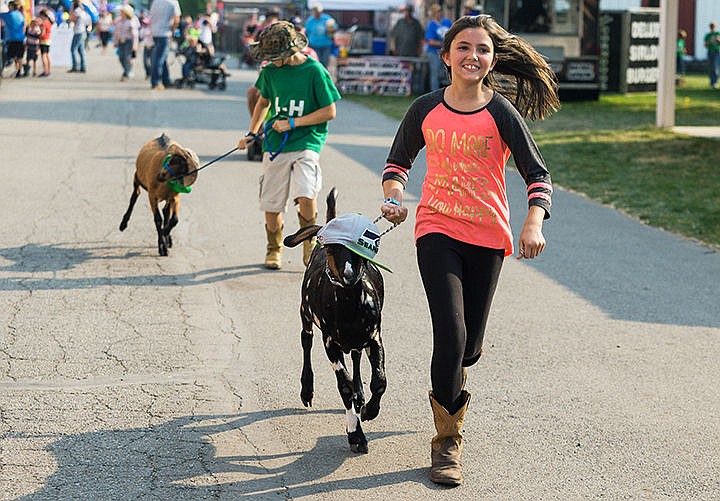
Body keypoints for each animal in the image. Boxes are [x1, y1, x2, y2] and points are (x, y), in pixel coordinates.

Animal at [282, 188, 388, 454]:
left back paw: (361, 397)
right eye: (333, 250)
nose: (348, 275)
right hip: (305, 313)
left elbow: (379, 381)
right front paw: (356, 435)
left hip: (358, 340)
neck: (349, 306)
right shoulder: (330, 342)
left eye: (359, 251)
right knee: (306, 341)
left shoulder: (374, 337)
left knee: (357, 357)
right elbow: (345, 386)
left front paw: (369, 410)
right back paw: (307, 389)